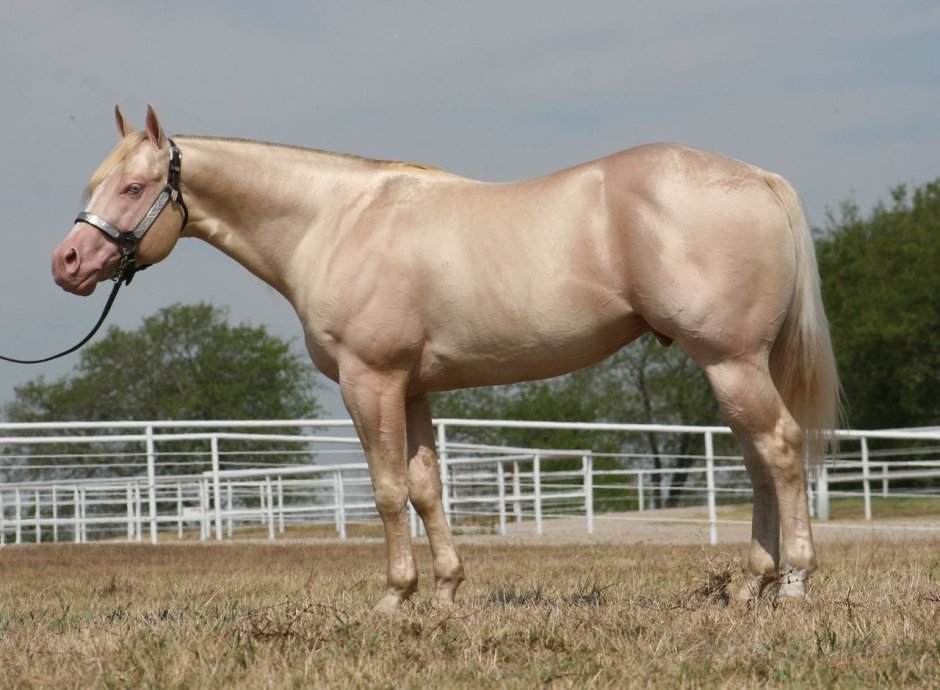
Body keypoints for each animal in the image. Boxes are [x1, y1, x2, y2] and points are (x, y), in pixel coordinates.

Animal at [52, 105, 840, 613]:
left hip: (731, 362)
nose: (67, 263)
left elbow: (386, 491)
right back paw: (753, 585)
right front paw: (446, 595)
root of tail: (757, 178)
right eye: (93, 184)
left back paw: (795, 585)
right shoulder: (413, 389)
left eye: (132, 187)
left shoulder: (369, 383)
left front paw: (393, 599)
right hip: (733, 367)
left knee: (779, 449)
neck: (333, 223)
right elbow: (428, 489)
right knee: (758, 463)